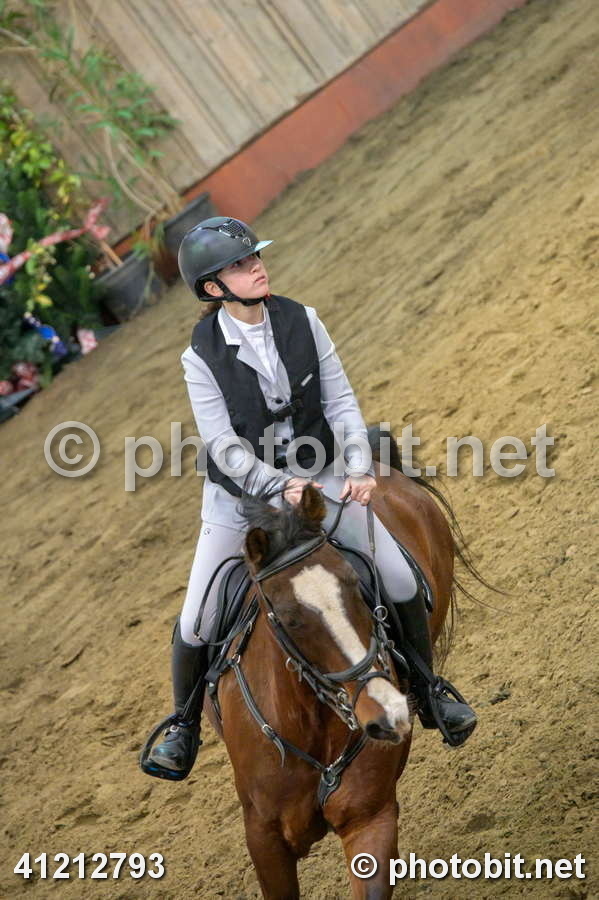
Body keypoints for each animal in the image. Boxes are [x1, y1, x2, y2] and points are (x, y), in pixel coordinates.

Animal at [205, 440, 472, 899]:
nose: (387, 715)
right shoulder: (263, 837)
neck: (306, 723)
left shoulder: (369, 818)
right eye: (290, 619)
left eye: (354, 583)